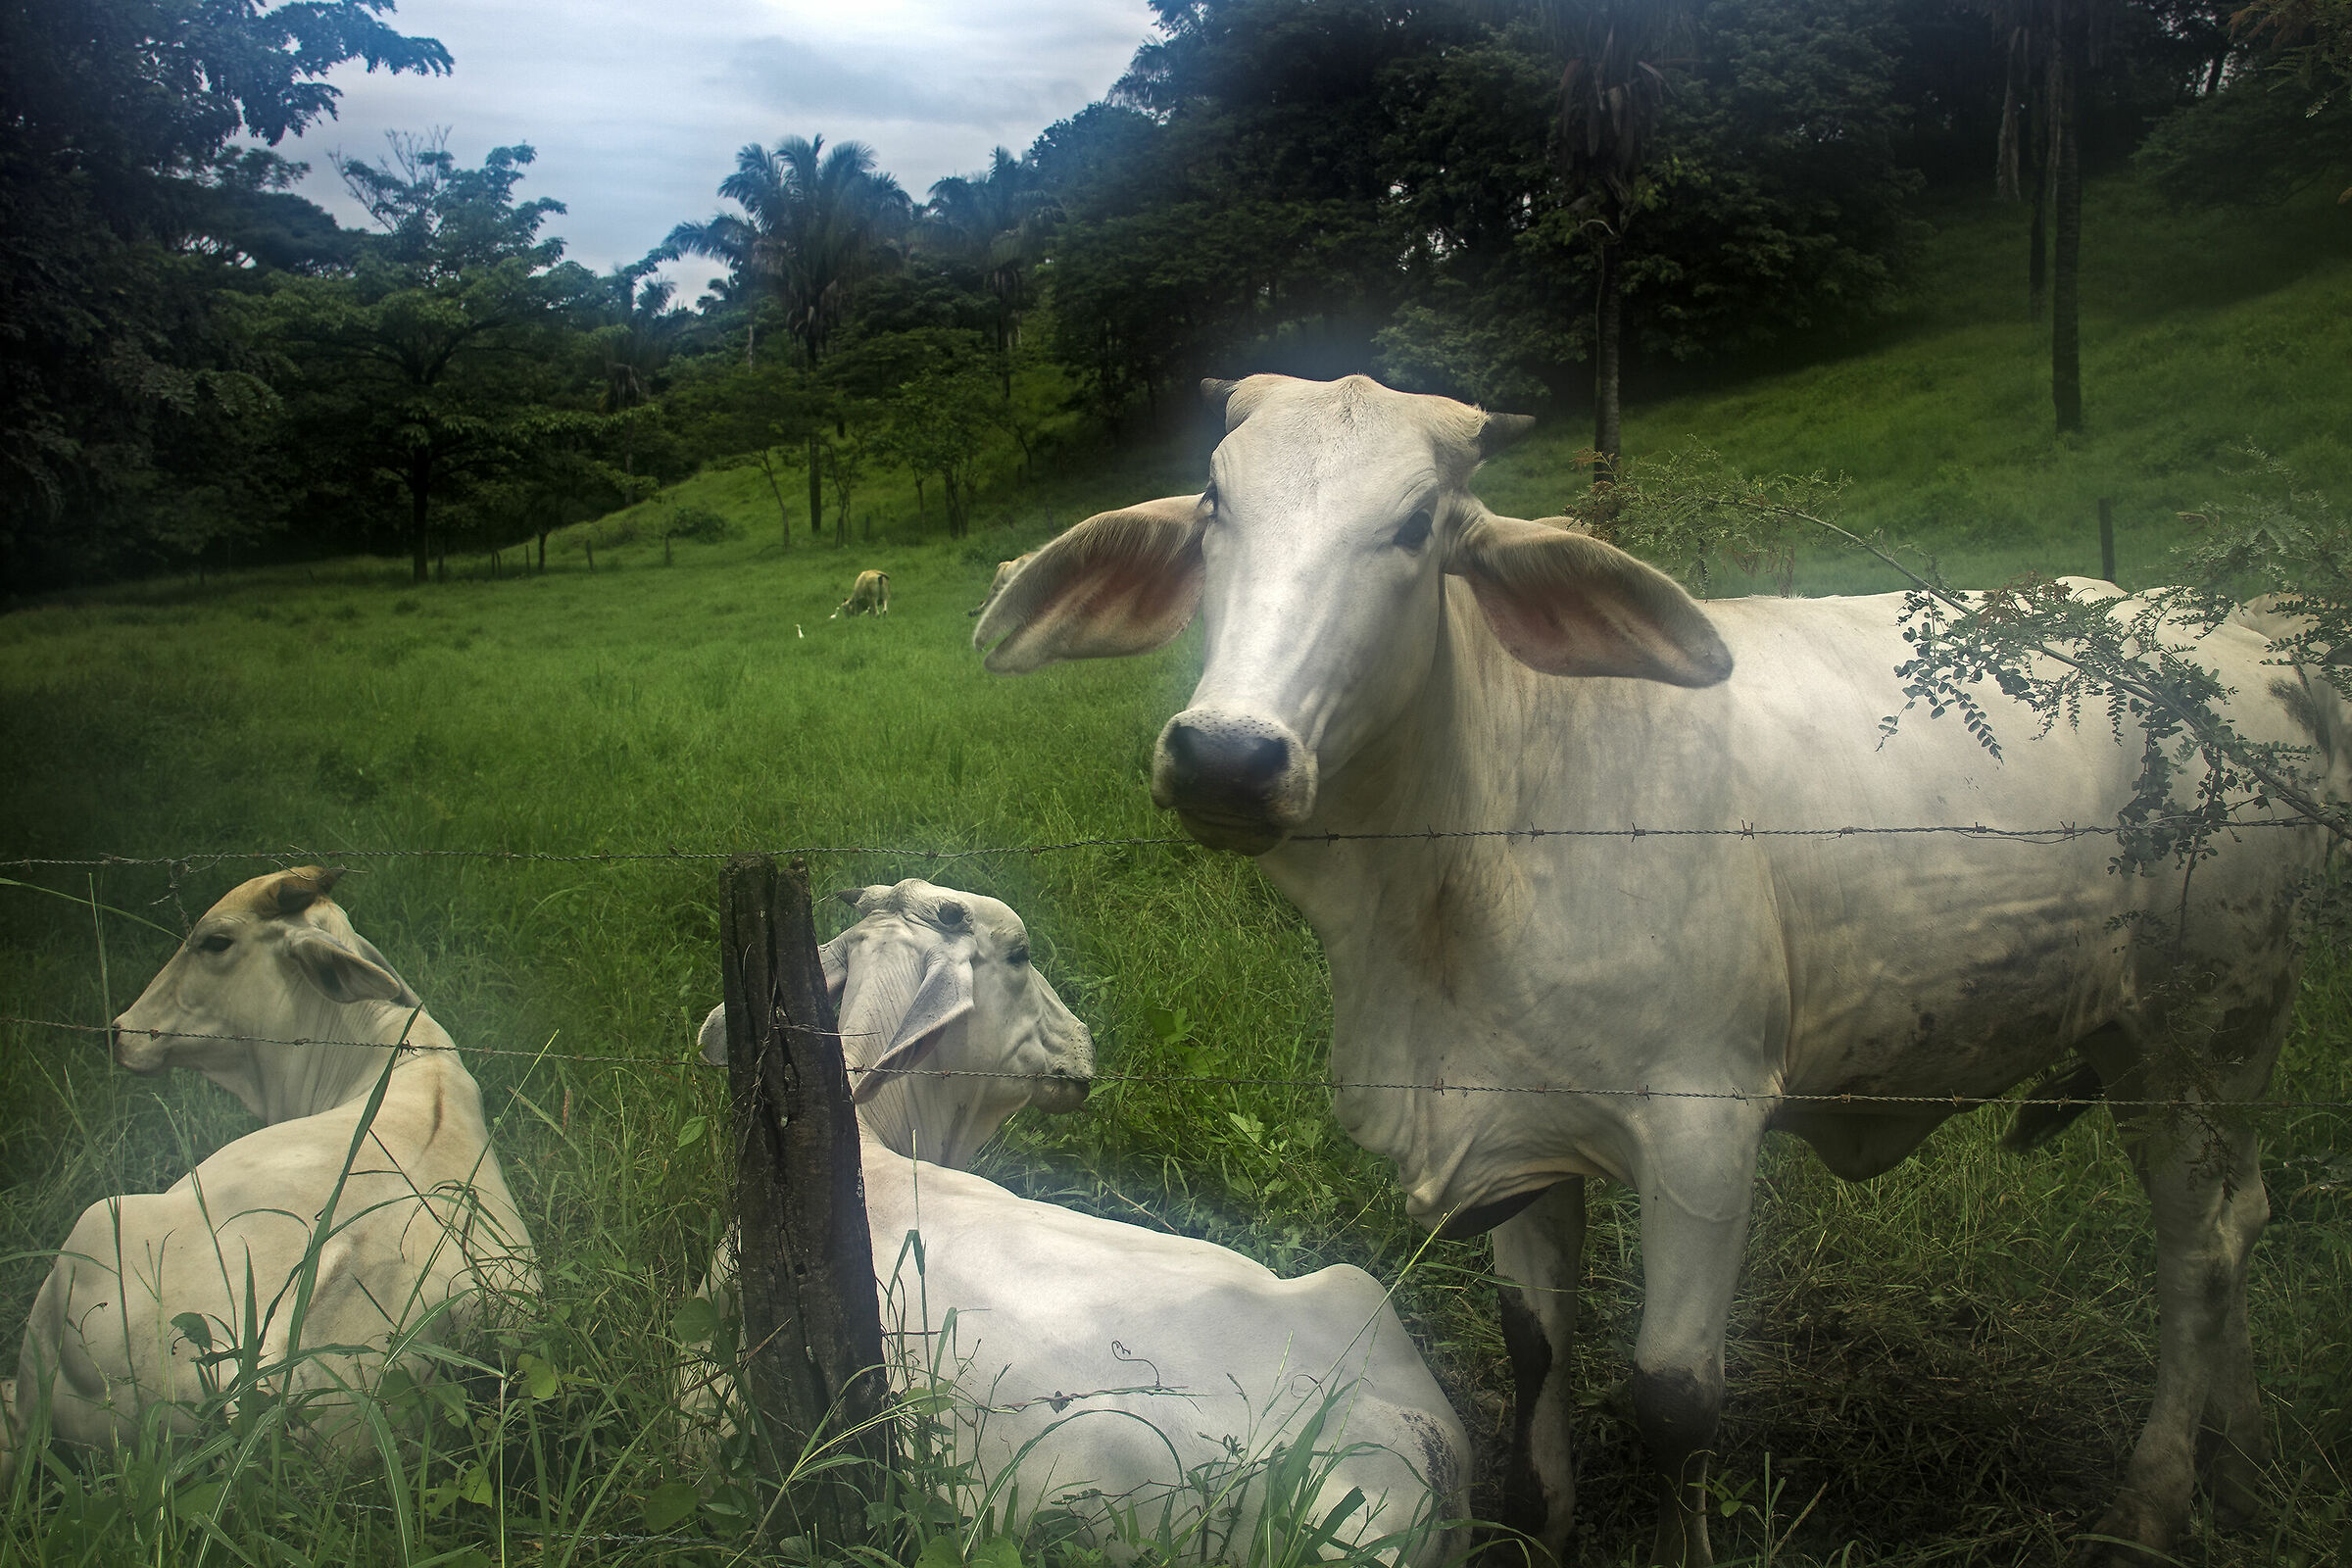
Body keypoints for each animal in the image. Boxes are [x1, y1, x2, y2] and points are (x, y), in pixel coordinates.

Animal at [972, 372, 2342, 1566]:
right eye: (1217, 504)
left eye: (1415, 526)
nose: (1228, 755)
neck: (1455, 866)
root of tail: (2248, 645)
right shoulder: (1511, 1125)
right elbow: (1535, 1350)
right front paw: (1544, 1526)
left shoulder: (1705, 1122)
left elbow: (1675, 1395)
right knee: (2240, 1219)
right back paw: (2243, 1463)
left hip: (2201, 1029)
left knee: (2199, 1247)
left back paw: (2153, 1504)